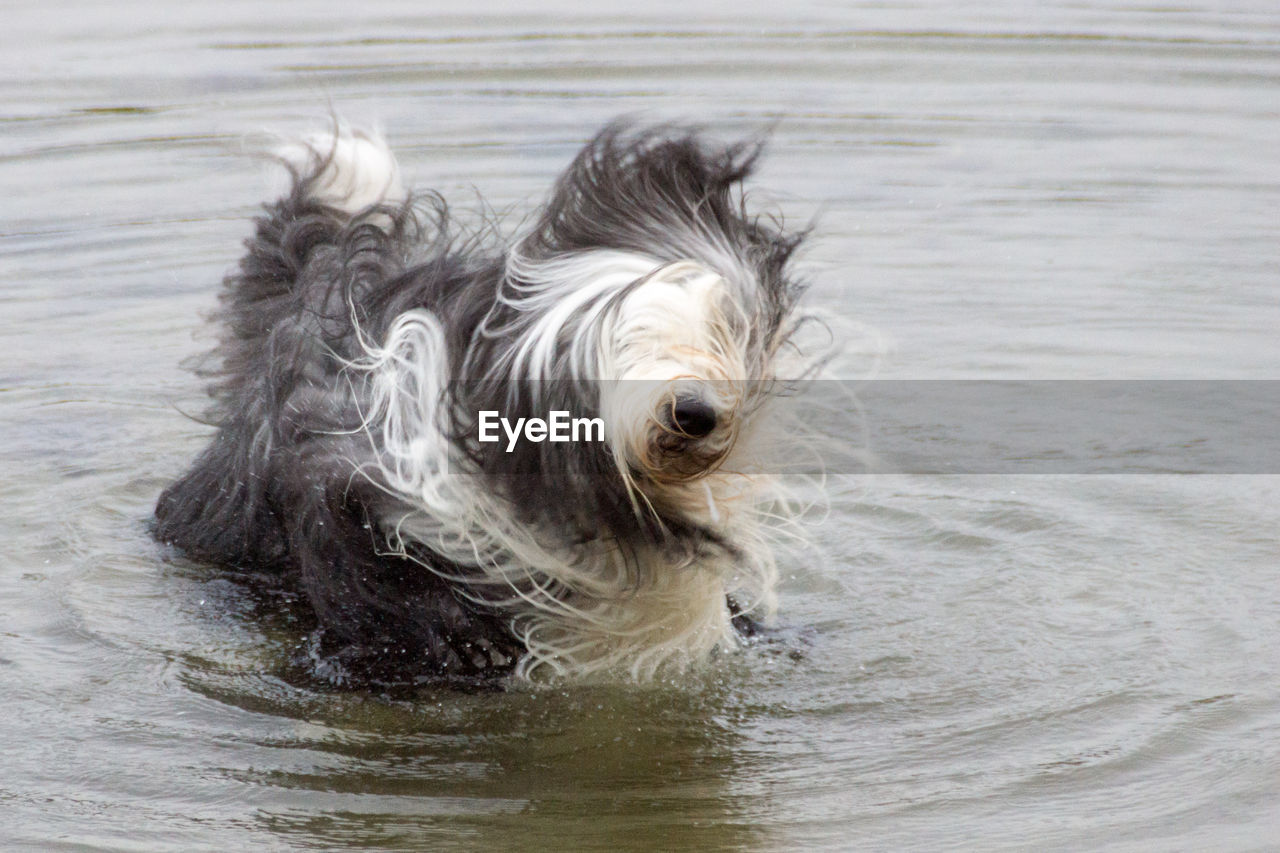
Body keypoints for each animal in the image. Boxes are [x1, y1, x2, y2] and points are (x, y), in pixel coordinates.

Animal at [154, 119, 819, 686]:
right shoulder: (343, 473)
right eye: (628, 340)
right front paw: (459, 641)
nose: (695, 412)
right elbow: (370, 574)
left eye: (722, 331)